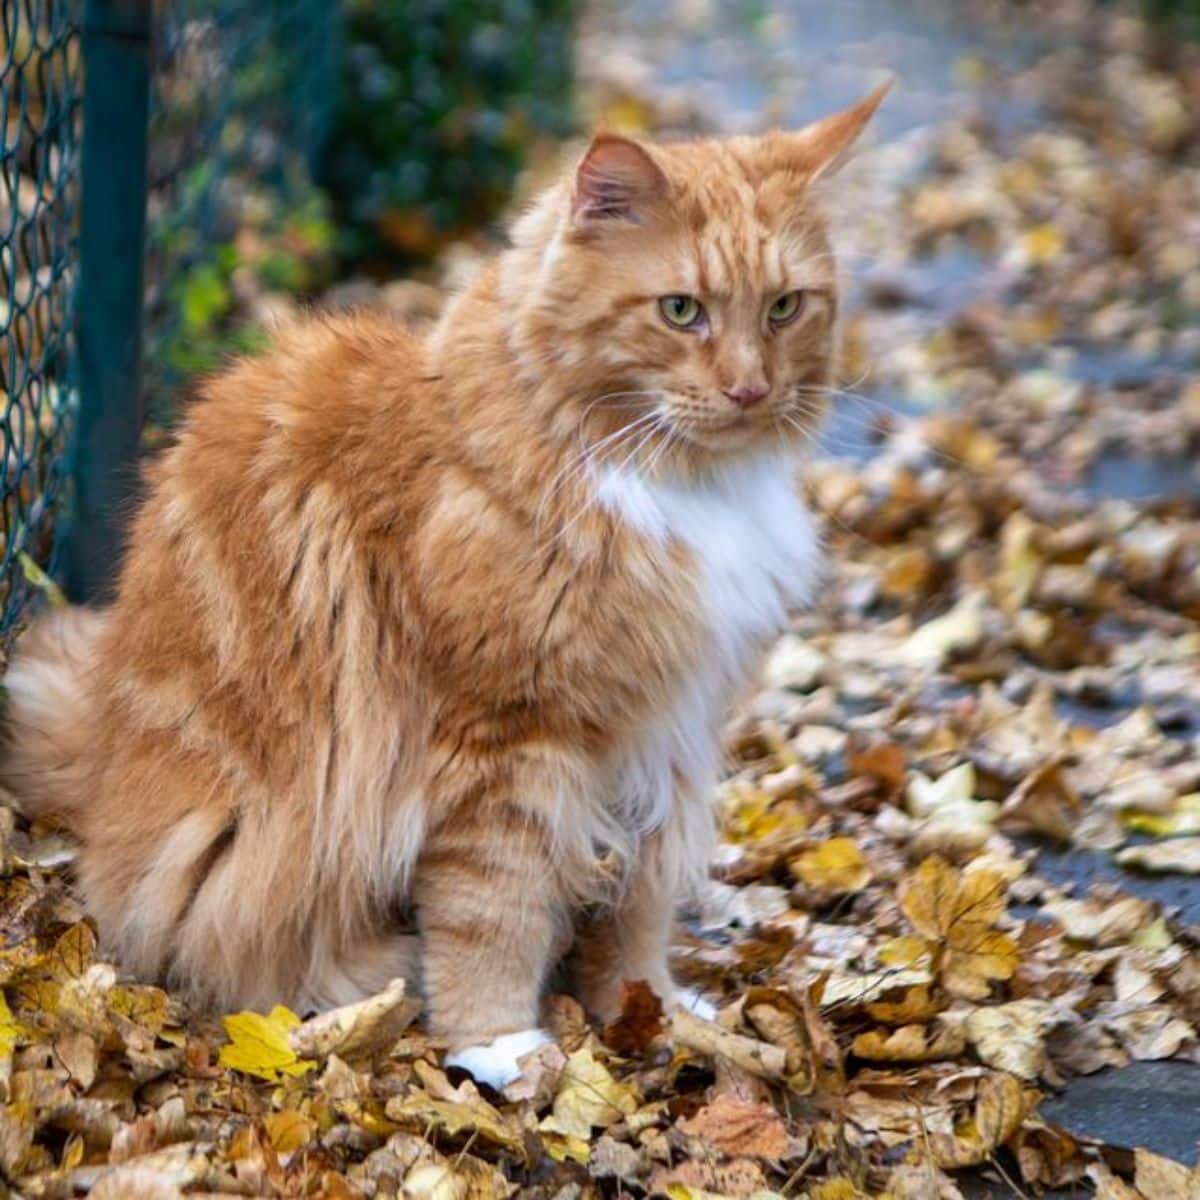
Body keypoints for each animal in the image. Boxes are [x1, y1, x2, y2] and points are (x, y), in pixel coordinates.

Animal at [0, 88, 883, 1089]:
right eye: (681, 310)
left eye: (784, 309)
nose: (749, 390)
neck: (676, 485)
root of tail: (100, 751)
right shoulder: (506, 743)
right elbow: (493, 914)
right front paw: (499, 1044)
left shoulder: (667, 738)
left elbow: (639, 907)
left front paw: (648, 1012)